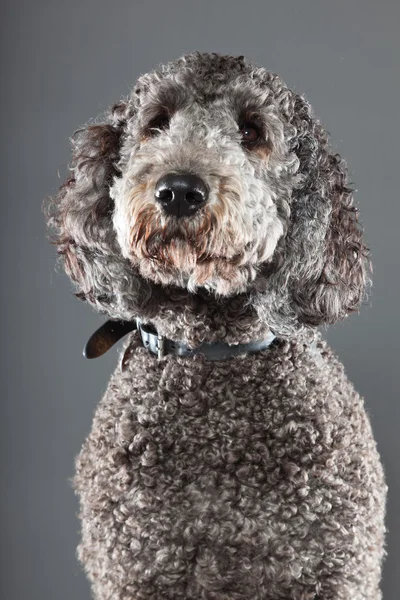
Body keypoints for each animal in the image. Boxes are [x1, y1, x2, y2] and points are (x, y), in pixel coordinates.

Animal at [45, 52, 386, 600]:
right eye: (156, 123)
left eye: (251, 132)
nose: (179, 190)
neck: (212, 355)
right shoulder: (133, 567)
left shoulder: (334, 569)